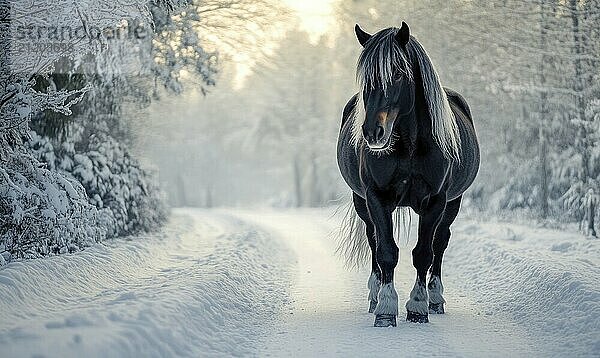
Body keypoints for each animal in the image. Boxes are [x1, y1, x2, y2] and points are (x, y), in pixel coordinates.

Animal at [336, 21, 480, 326]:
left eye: (399, 74)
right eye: (365, 78)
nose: (372, 132)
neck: (410, 146)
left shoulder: (436, 200)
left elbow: (424, 253)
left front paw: (417, 307)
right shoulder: (376, 197)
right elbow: (386, 251)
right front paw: (386, 308)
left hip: (453, 203)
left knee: (440, 243)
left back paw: (435, 299)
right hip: (362, 203)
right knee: (373, 239)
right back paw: (374, 295)